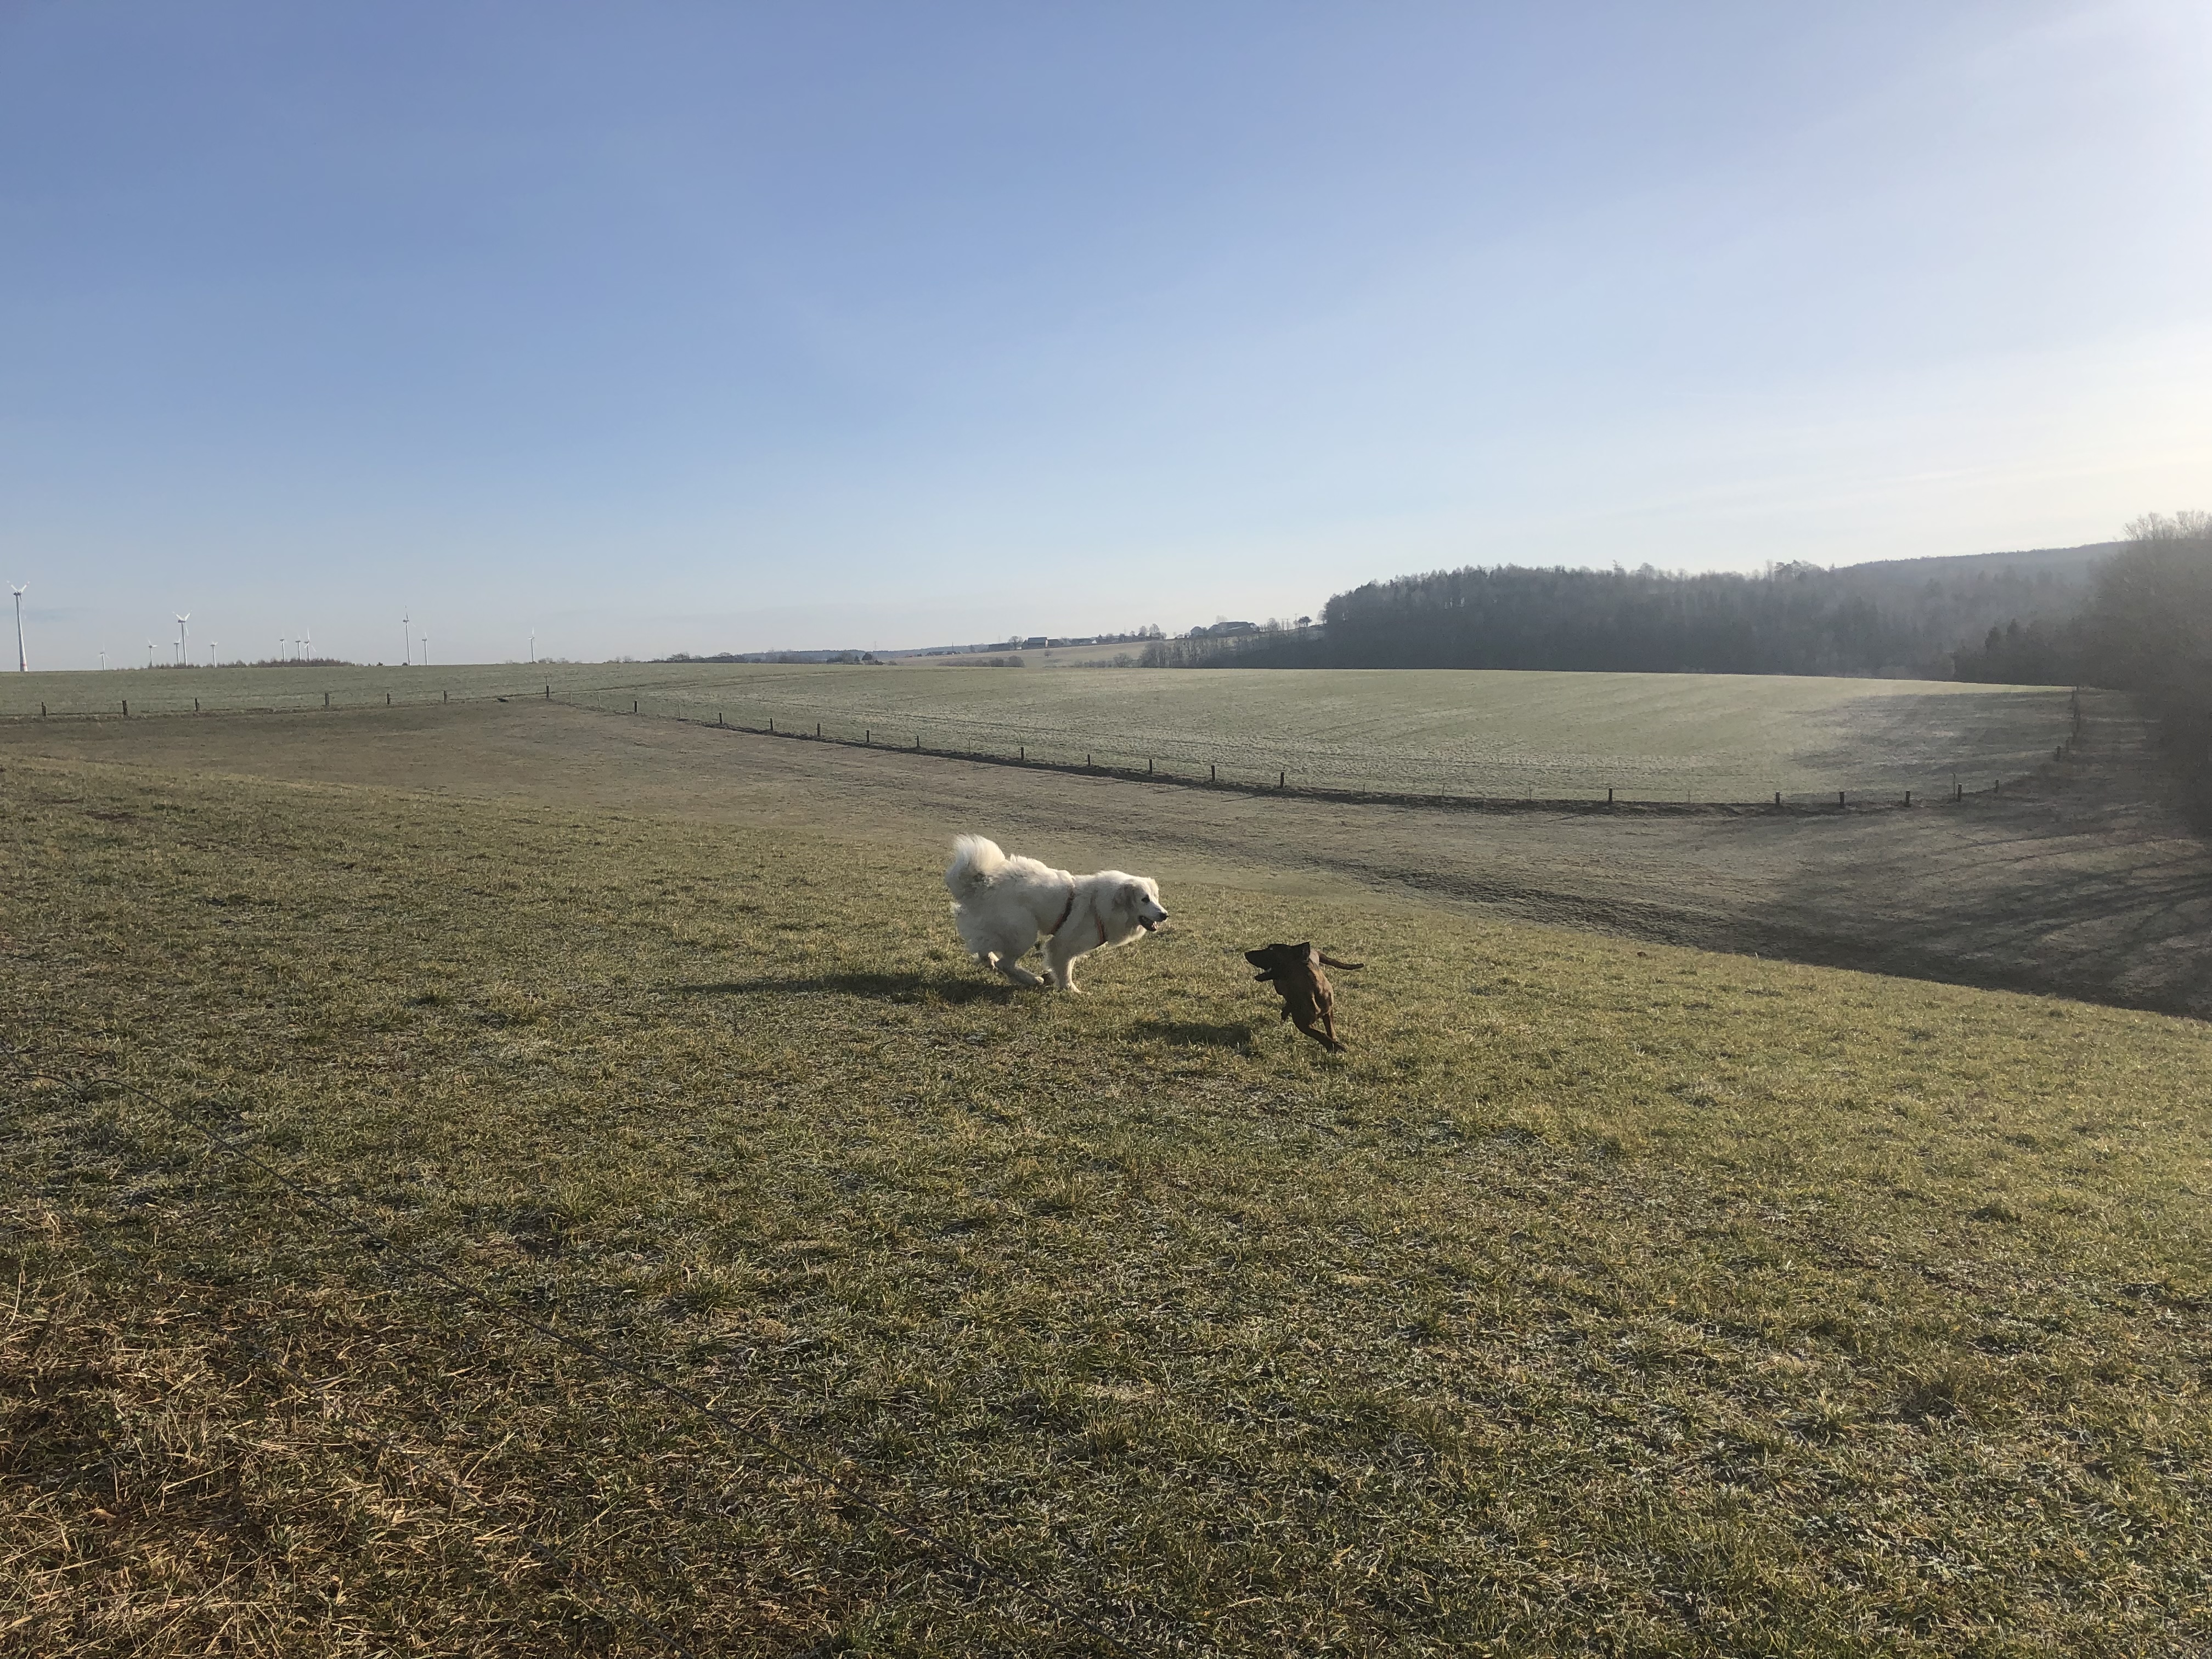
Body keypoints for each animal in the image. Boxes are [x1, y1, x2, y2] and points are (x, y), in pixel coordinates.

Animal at [945, 835, 1167, 992]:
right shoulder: (1062, 945)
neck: (1099, 904)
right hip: (1024, 933)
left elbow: (1065, 967)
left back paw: (993, 963)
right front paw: (1072, 990)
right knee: (1005, 963)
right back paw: (1032, 979)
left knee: (986, 952)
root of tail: (983, 882)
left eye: (1156, 898)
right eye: (1145, 899)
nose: (1165, 915)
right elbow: (1065, 969)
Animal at [1245, 942, 1363, 1051]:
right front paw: (1334, 1046)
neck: (1311, 989)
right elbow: (1320, 1034)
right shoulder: (1303, 1024)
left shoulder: (1328, 1012)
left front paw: (1335, 1043)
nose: (1247, 953)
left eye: (1271, 950)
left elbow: (1330, 1030)